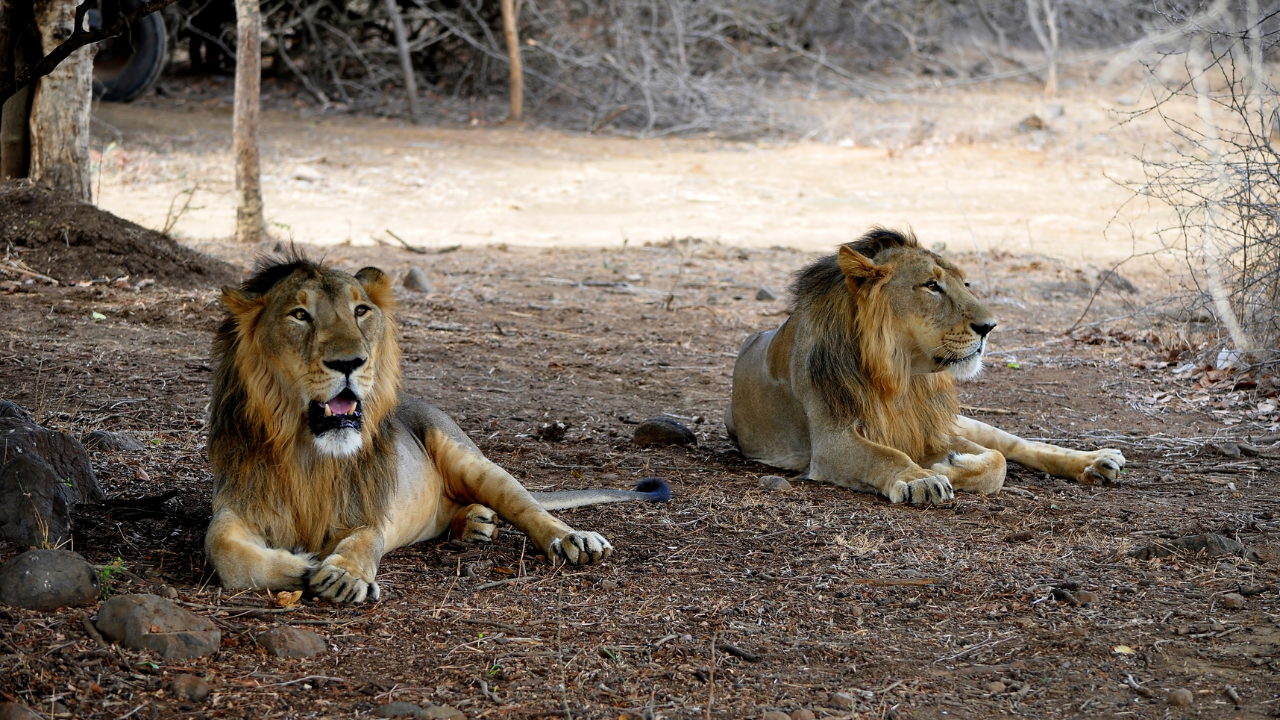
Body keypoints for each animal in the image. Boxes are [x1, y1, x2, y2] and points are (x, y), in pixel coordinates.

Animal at [204, 252, 670, 599]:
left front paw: (343, 575)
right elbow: (223, 550)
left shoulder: (366, 511)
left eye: (361, 311)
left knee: (527, 505)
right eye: (300, 315)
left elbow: (361, 542)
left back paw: (573, 540)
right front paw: (306, 567)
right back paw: (473, 523)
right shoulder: (234, 504)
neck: (307, 453)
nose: (350, 362)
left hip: (468, 457)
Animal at [727, 226, 1126, 502]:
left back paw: (1100, 460)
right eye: (932, 285)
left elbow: (998, 461)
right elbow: (885, 457)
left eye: (966, 283)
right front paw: (923, 477)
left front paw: (949, 465)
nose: (990, 326)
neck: (903, 374)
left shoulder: (930, 429)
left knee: (1015, 444)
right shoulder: (832, 440)